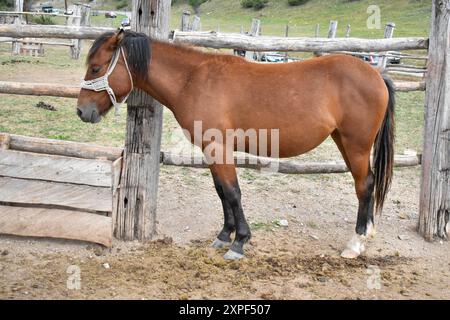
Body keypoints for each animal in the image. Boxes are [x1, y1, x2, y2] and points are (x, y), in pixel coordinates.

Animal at [77, 30, 394, 260]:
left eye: (95, 67)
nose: (82, 111)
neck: (193, 79)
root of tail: (376, 75)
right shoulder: (211, 150)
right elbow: (221, 192)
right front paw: (223, 236)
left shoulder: (219, 147)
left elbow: (232, 192)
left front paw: (239, 242)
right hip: (343, 141)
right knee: (367, 183)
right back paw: (367, 235)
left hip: (356, 145)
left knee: (364, 185)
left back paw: (355, 243)